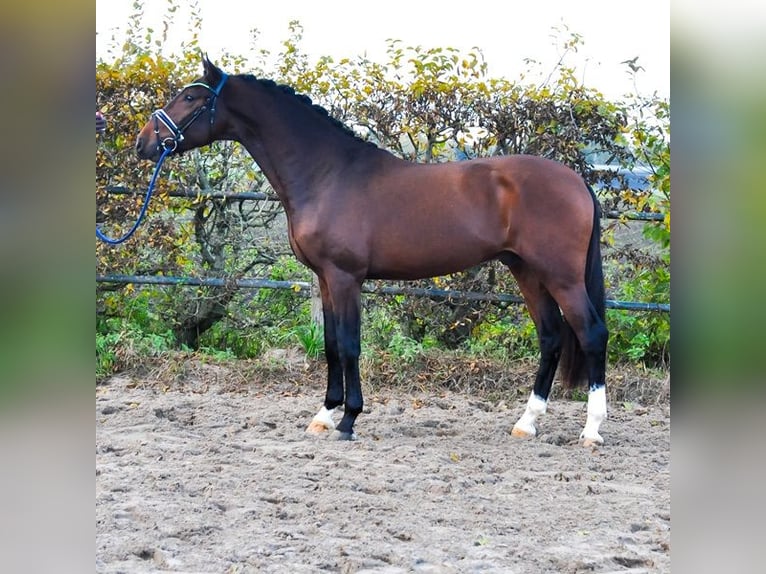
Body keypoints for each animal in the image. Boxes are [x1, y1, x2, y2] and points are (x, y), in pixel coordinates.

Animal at [135, 56, 608, 448]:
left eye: (191, 97)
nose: (144, 143)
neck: (328, 174)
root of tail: (577, 180)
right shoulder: (325, 279)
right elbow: (330, 344)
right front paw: (324, 414)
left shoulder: (345, 277)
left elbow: (349, 345)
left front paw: (348, 420)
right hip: (525, 270)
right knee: (550, 337)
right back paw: (526, 423)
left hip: (561, 276)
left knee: (591, 334)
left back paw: (591, 431)